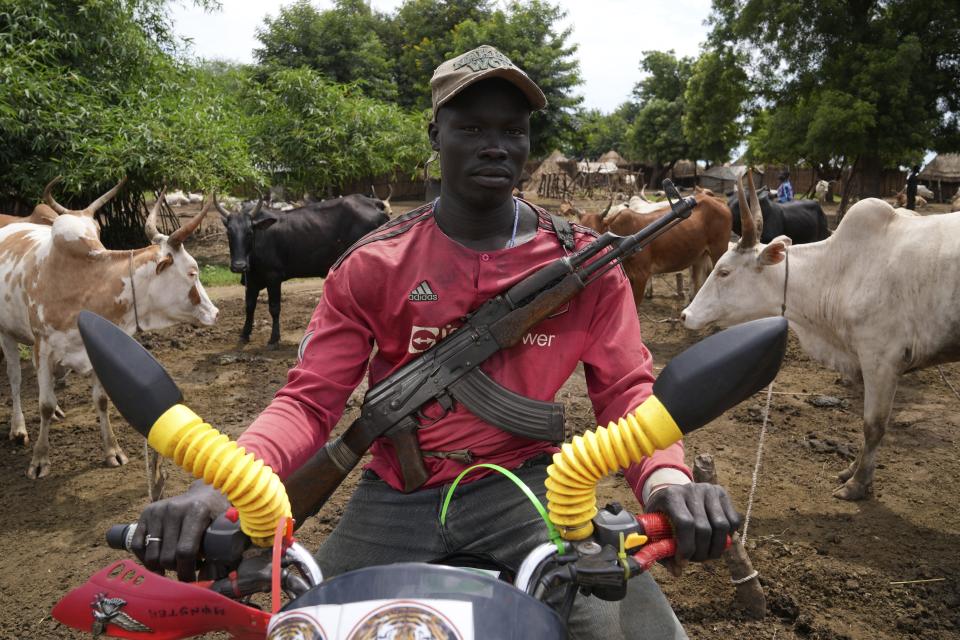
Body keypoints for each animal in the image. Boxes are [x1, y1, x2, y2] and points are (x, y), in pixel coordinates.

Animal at [218, 196, 390, 348]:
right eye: (229, 233)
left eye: (249, 232)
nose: (239, 265)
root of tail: (372, 202)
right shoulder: (251, 279)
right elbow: (249, 306)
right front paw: (244, 335)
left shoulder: (273, 277)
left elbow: (274, 308)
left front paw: (274, 339)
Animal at [680, 174, 960, 500]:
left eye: (724, 272)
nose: (686, 315)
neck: (841, 272)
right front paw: (851, 470)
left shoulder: (882, 360)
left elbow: (873, 426)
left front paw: (858, 483)